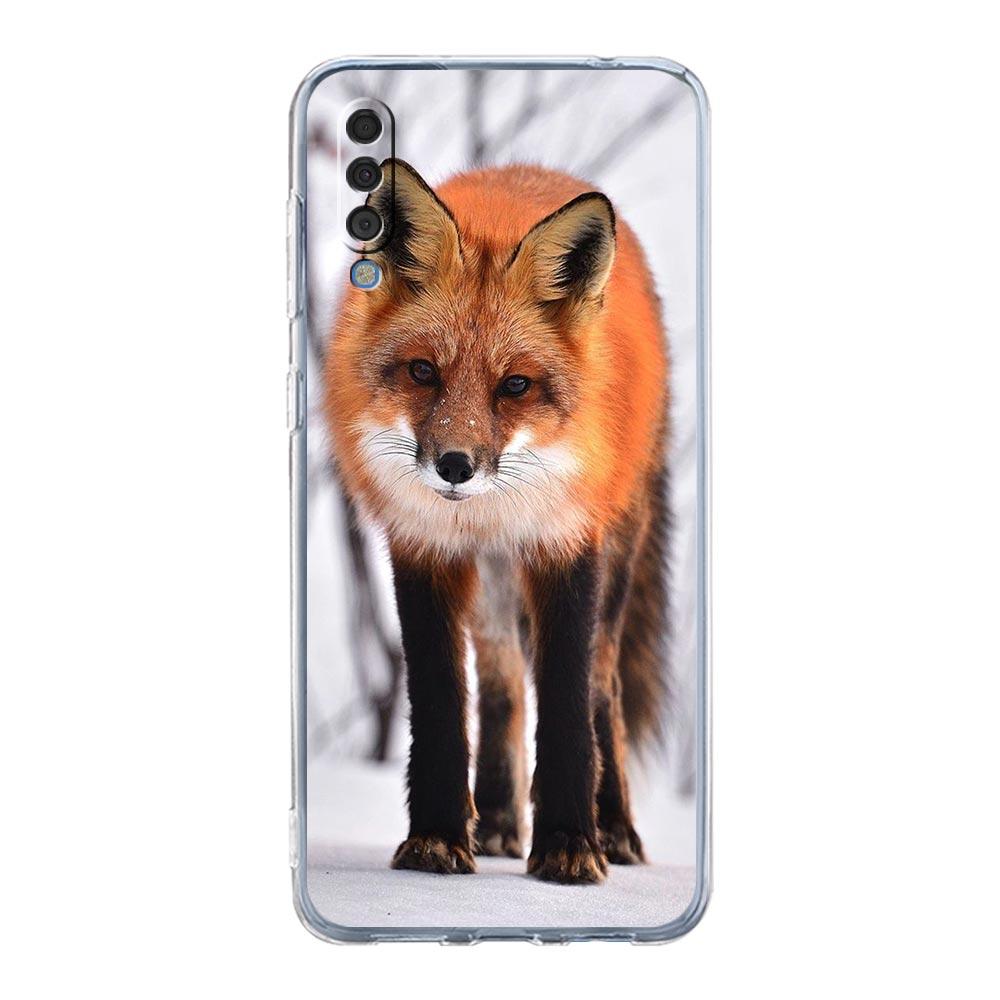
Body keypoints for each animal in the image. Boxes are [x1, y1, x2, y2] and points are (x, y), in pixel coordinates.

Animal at [325, 159, 670, 884]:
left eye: (515, 386)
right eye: (423, 371)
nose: (454, 466)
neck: (488, 511)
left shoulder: (566, 543)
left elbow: (568, 703)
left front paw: (569, 844)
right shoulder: (423, 547)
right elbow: (440, 702)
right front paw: (435, 838)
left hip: (617, 555)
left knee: (603, 688)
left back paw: (614, 828)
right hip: (489, 590)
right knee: (502, 683)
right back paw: (499, 822)